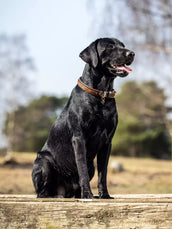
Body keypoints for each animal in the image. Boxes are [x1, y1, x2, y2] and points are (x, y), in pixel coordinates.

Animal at [31, 37, 134, 199]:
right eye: (110, 47)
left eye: (122, 46)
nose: (132, 53)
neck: (101, 94)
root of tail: (63, 191)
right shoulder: (79, 138)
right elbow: (82, 168)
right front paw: (87, 194)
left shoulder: (107, 142)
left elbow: (103, 173)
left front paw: (104, 195)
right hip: (43, 161)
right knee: (42, 193)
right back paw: (56, 196)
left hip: (91, 166)